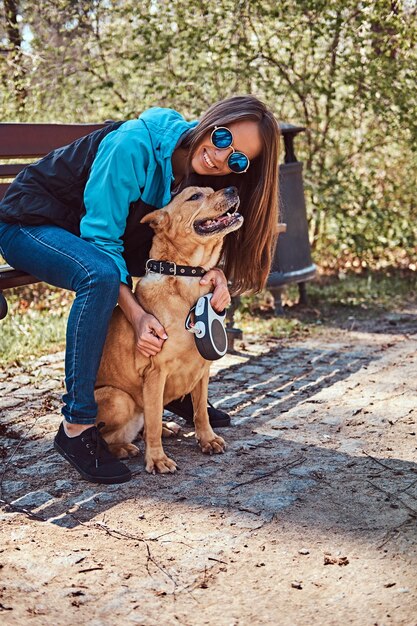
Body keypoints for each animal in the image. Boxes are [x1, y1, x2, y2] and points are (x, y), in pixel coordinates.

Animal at [94, 185, 242, 472]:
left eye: (211, 189)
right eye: (195, 196)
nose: (232, 188)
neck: (188, 275)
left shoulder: (203, 369)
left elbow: (200, 411)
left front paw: (207, 439)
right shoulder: (155, 372)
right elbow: (152, 422)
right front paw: (157, 458)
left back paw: (164, 428)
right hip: (118, 398)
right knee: (107, 435)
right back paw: (122, 449)